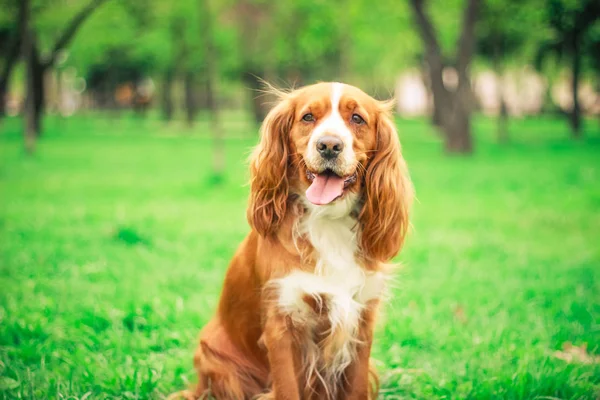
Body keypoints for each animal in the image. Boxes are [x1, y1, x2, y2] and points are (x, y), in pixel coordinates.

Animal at [175, 82, 412, 400]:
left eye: (357, 118)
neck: (327, 221)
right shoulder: (283, 321)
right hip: (220, 365)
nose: (329, 145)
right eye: (308, 117)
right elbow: (287, 387)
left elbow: (357, 388)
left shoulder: (361, 320)